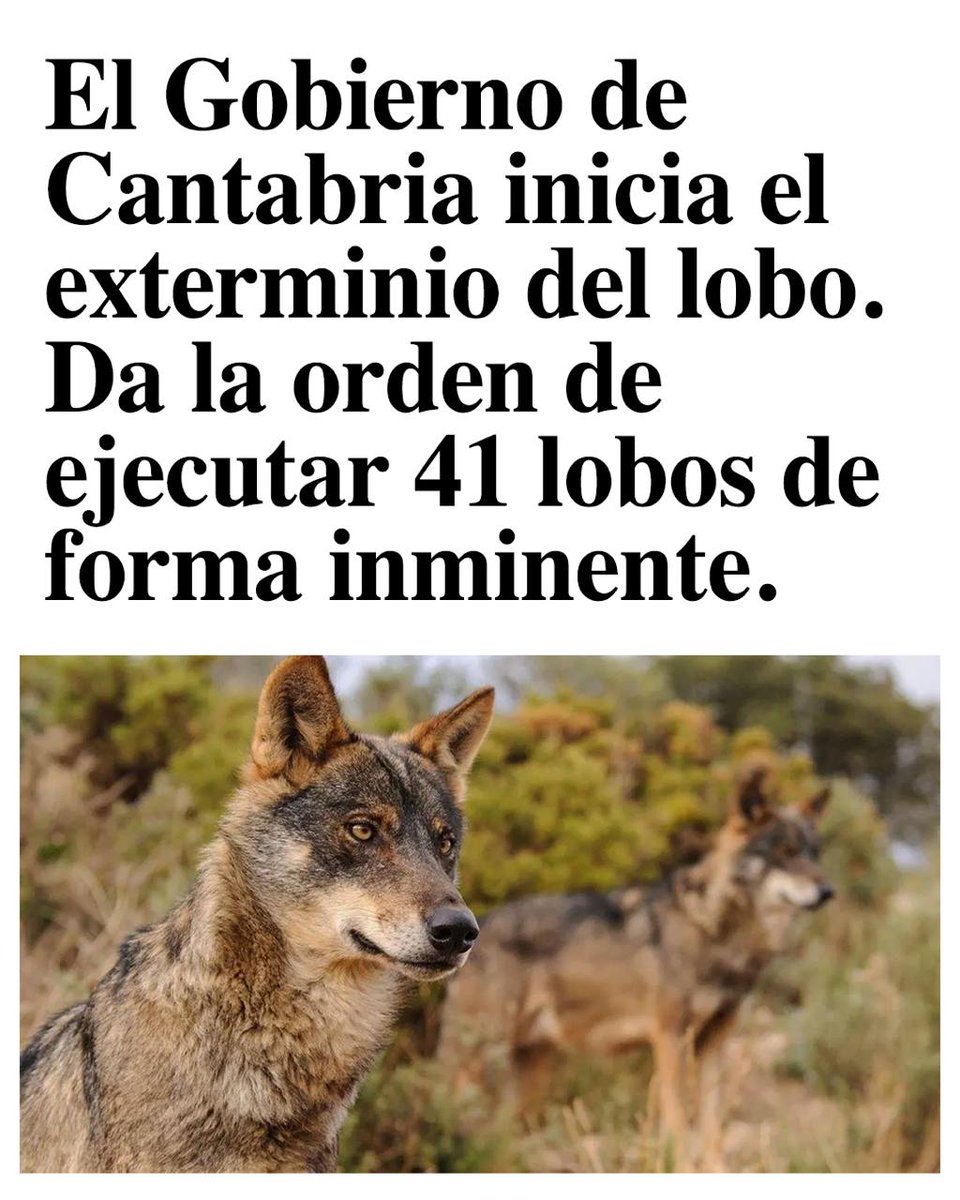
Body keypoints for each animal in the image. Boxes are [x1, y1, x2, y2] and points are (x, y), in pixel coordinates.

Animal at [438, 770, 832, 1169]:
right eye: (785, 852)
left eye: (815, 853)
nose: (827, 891)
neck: (715, 932)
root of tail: (478, 927)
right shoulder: (670, 1037)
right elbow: (678, 1119)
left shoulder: (714, 1043)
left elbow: (711, 1124)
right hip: (481, 1059)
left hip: (530, 1073)